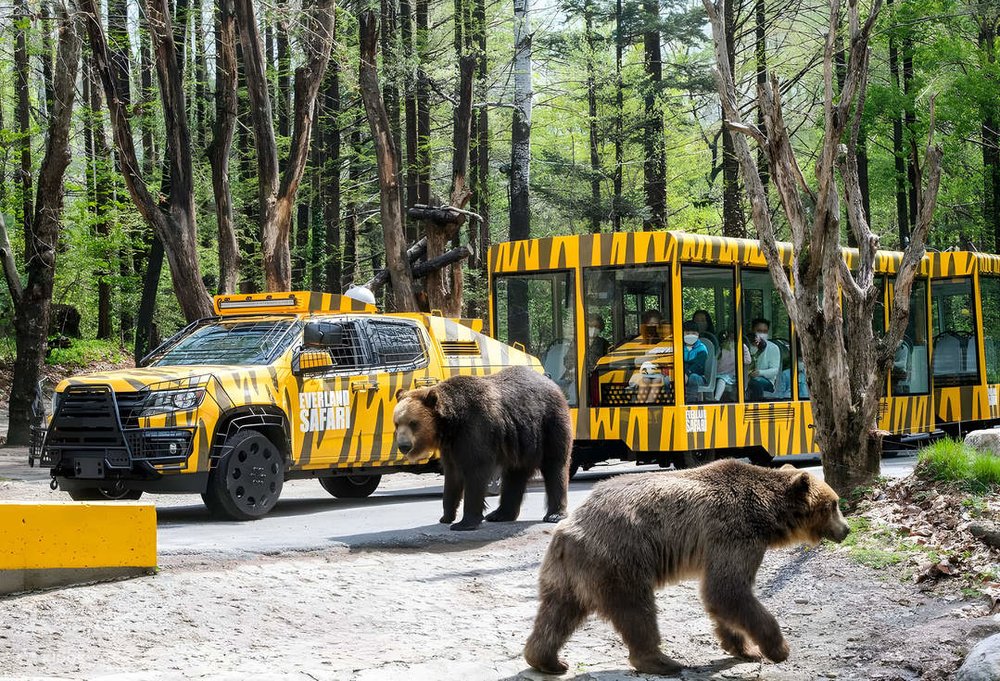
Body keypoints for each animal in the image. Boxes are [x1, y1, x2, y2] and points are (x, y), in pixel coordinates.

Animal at [392, 365, 572, 532]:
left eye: (413, 423)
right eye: (397, 423)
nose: (403, 446)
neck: (450, 424)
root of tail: (551, 382)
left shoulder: (476, 428)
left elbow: (475, 472)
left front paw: (464, 523)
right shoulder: (451, 446)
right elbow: (452, 476)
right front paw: (446, 517)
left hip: (549, 424)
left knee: (555, 465)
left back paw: (554, 514)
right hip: (520, 440)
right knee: (515, 474)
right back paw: (500, 514)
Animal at [523, 459, 850, 675]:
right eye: (833, 504)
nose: (846, 529)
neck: (767, 516)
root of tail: (569, 529)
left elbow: (721, 597)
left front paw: (742, 647)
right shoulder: (734, 532)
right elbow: (728, 590)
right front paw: (777, 648)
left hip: (567, 572)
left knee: (557, 612)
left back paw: (547, 660)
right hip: (619, 558)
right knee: (636, 610)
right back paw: (661, 661)